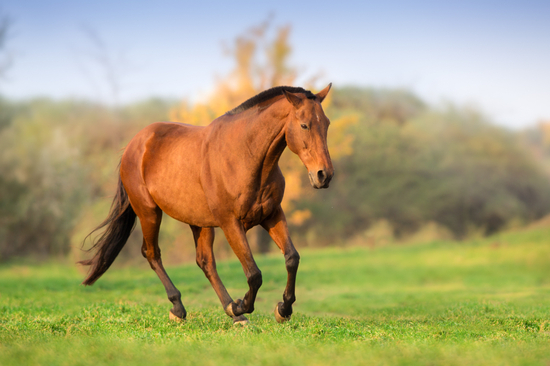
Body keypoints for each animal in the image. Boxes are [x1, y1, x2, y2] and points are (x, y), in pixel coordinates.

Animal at [79, 83, 334, 324]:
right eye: (304, 125)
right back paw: (181, 308)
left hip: (199, 223)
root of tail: (134, 145)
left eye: (327, 124)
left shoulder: (271, 215)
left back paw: (233, 314)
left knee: (205, 262)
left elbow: (292, 258)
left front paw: (283, 309)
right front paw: (242, 306)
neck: (244, 155)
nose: (324, 175)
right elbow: (254, 273)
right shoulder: (231, 223)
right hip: (149, 213)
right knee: (152, 253)